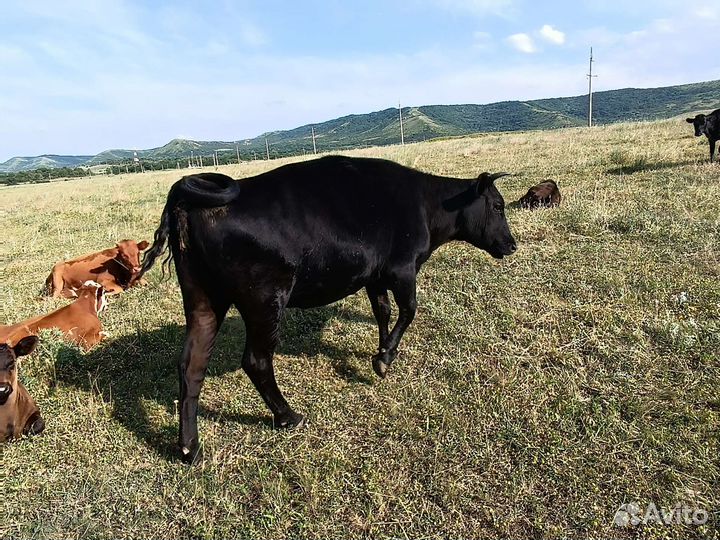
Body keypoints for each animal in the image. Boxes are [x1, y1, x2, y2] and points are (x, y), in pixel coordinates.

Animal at [139, 155, 517, 463]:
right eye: (498, 206)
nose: (512, 245)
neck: (426, 205)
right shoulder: (402, 269)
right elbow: (409, 310)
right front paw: (385, 357)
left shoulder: (375, 276)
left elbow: (383, 312)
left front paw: (381, 352)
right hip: (265, 299)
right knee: (256, 361)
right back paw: (288, 417)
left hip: (203, 300)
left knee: (191, 365)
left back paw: (189, 448)